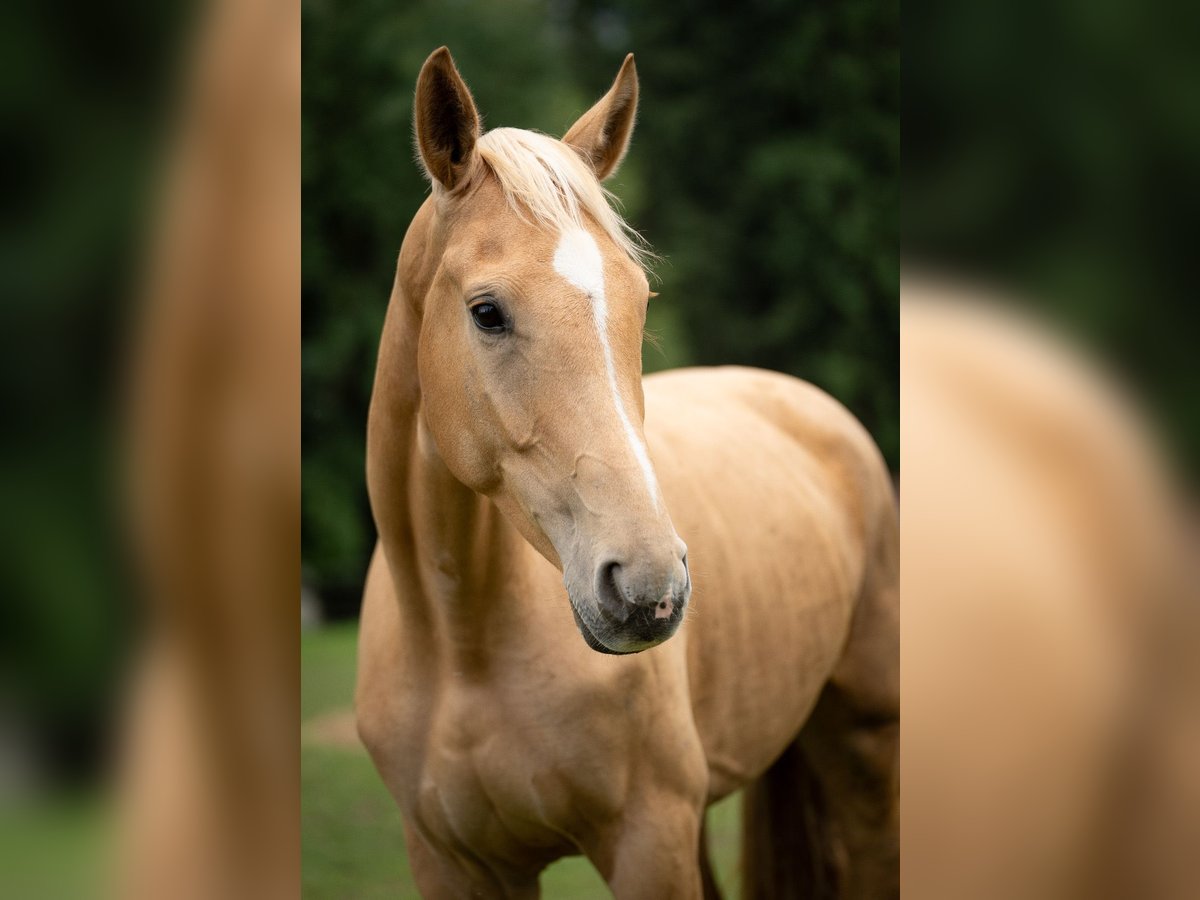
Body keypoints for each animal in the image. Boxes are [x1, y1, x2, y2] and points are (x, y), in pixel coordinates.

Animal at [355, 47, 898, 899]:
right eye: (486, 312)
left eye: (640, 301)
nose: (648, 588)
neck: (461, 647)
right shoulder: (452, 865)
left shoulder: (649, 841)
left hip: (865, 748)